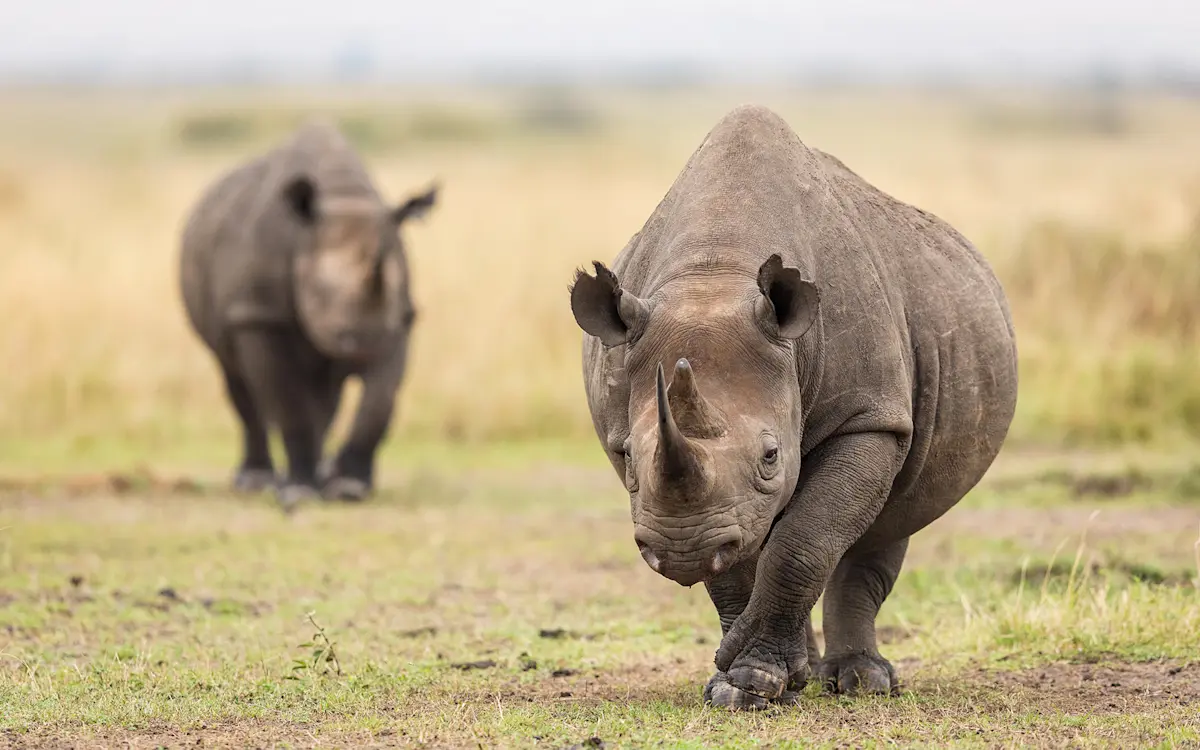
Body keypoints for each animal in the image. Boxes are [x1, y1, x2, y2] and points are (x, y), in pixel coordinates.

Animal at [180, 121, 437, 509]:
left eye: (390, 287)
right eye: (315, 294)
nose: (361, 341)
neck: (343, 198)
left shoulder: (399, 322)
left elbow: (378, 404)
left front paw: (348, 487)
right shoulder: (259, 317)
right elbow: (288, 405)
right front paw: (299, 491)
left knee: (325, 395)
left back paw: (320, 475)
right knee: (236, 377)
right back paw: (257, 481)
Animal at [569, 105, 1017, 709]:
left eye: (771, 456)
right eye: (627, 458)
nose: (681, 551)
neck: (714, 275)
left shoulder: (869, 418)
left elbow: (801, 543)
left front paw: (751, 679)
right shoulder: (701, 497)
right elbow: (739, 559)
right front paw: (745, 684)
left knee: (880, 527)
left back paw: (862, 683)